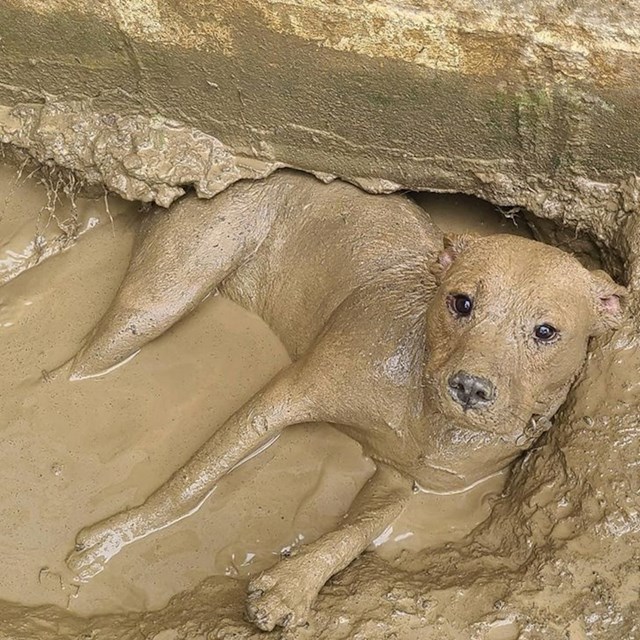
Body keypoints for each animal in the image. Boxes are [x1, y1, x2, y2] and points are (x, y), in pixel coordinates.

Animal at [65, 170, 624, 632]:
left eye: (546, 331)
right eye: (461, 302)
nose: (470, 386)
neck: (427, 418)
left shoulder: (401, 479)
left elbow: (354, 533)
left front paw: (291, 585)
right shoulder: (287, 394)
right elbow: (189, 482)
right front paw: (115, 539)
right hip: (157, 302)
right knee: (70, 371)